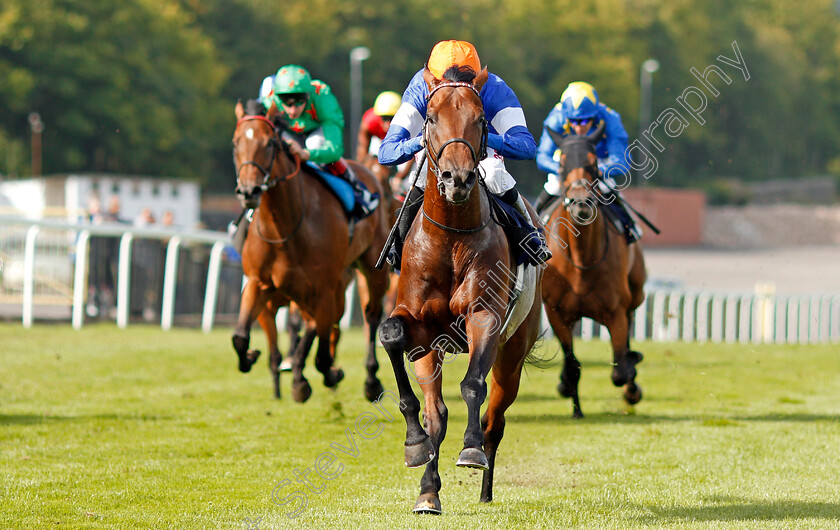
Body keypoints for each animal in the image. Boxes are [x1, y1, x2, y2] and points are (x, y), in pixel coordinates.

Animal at [231, 101, 392, 400]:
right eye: (236, 143)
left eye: (270, 143)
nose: (249, 191)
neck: (285, 229)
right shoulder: (259, 283)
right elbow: (240, 336)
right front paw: (251, 356)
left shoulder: (324, 288)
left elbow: (322, 353)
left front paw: (319, 377)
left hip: (372, 268)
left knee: (371, 314)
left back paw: (371, 379)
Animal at [376, 66, 544, 512]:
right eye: (431, 118)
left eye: (480, 119)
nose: (458, 178)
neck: (449, 238)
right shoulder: (417, 327)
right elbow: (391, 335)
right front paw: (415, 446)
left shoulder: (485, 316)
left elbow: (472, 386)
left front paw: (470, 450)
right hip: (433, 348)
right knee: (437, 413)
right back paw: (428, 491)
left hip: (513, 349)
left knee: (494, 419)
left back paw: (484, 486)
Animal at [540, 124, 648, 416]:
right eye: (562, 162)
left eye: (592, 163)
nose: (581, 203)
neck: (581, 261)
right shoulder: (556, 312)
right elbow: (572, 363)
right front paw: (571, 398)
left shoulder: (616, 312)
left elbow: (620, 370)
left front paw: (632, 384)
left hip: (636, 294)